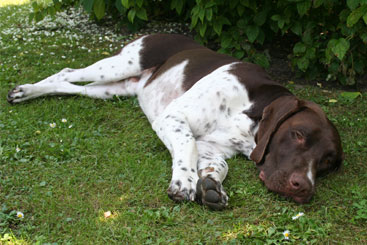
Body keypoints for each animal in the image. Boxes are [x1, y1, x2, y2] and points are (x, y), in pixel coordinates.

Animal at [6, 33, 344, 210]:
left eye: (328, 162)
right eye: (298, 134)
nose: (304, 187)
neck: (251, 114)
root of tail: (156, 32)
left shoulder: (213, 147)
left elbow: (218, 163)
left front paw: (211, 184)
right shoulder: (173, 117)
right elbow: (187, 146)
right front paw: (184, 181)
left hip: (110, 90)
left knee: (68, 84)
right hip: (118, 65)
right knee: (66, 71)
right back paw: (23, 91)